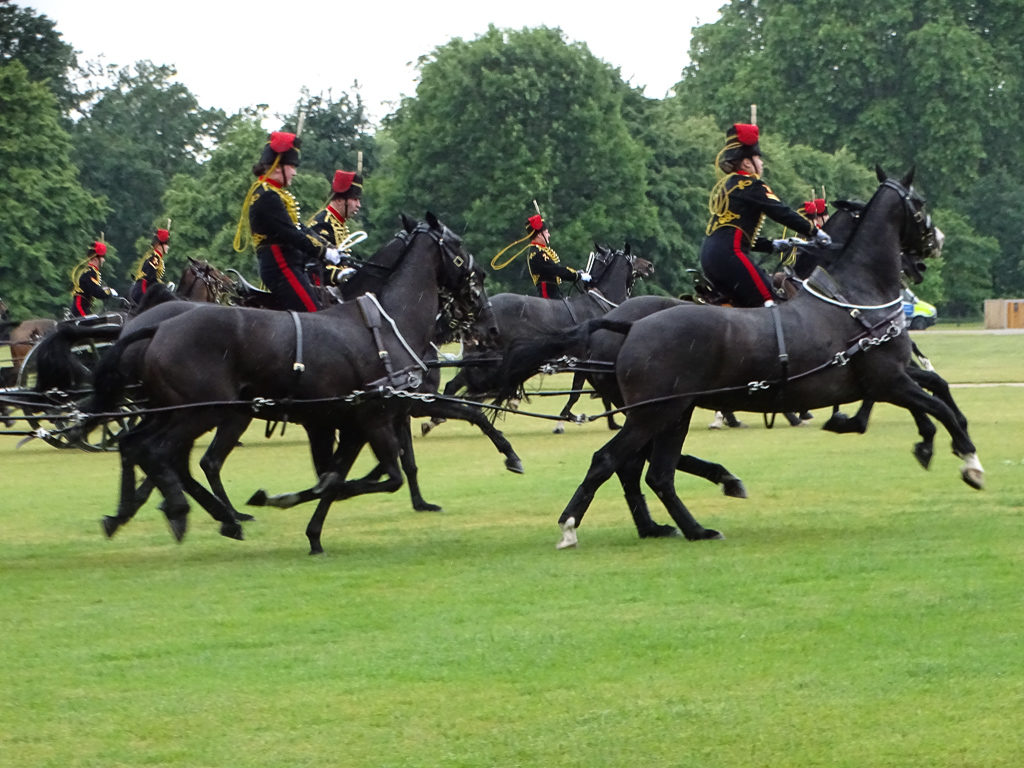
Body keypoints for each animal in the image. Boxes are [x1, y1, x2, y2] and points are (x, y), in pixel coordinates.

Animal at [495, 171, 983, 548]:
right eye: (918, 205)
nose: (931, 248)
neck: (853, 295)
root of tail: (625, 323)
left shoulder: (889, 378)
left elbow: (936, 392)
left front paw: (924, 441)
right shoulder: (887, 379)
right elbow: (934, 406)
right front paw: (966, 460)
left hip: (671, 413)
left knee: (649, 470)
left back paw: (681, 523)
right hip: (659, 413)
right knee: (619, 462)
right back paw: (577, 524)